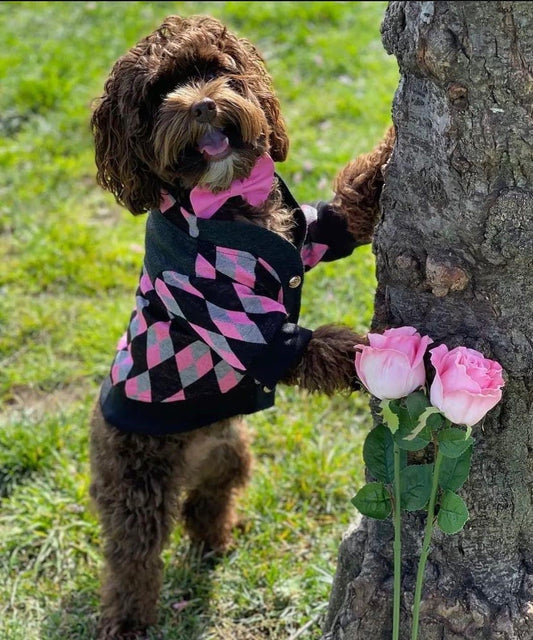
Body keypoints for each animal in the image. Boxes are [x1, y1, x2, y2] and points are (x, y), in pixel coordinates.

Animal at [89, 16, 392, 640]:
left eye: (215, 69)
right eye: (158, 93)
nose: (203, 105)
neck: (224, 199)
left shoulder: (306, 235)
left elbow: (348, 209)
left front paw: (394, 143)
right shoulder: (238, 325)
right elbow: (325, 349)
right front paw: (399, 356)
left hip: (229, 455)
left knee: (204, 503)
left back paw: (217, 541)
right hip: (134, 481)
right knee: (132, 559)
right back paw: (127, 621)